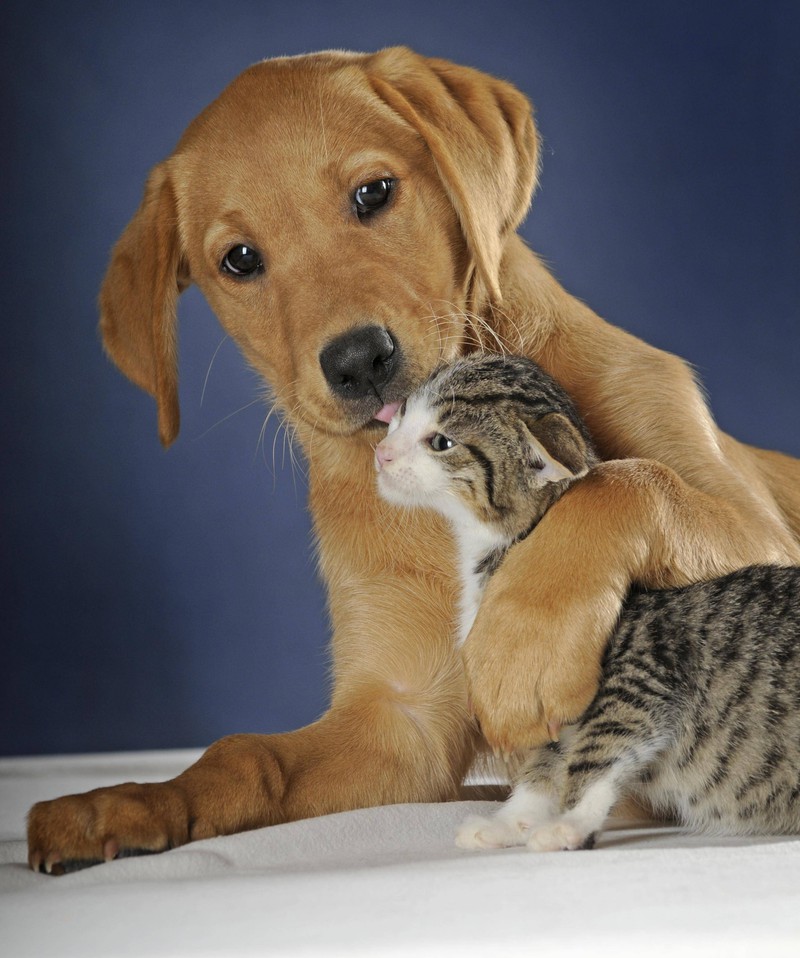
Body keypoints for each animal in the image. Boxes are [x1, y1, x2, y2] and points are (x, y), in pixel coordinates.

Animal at [374, 356, 800, 852]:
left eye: (440, 442)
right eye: (401, 415)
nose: (381, 453)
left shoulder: (640, 674)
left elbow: (597, 757)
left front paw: (569, 825)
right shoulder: (554, 706)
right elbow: (541, 768)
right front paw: (508, 822)